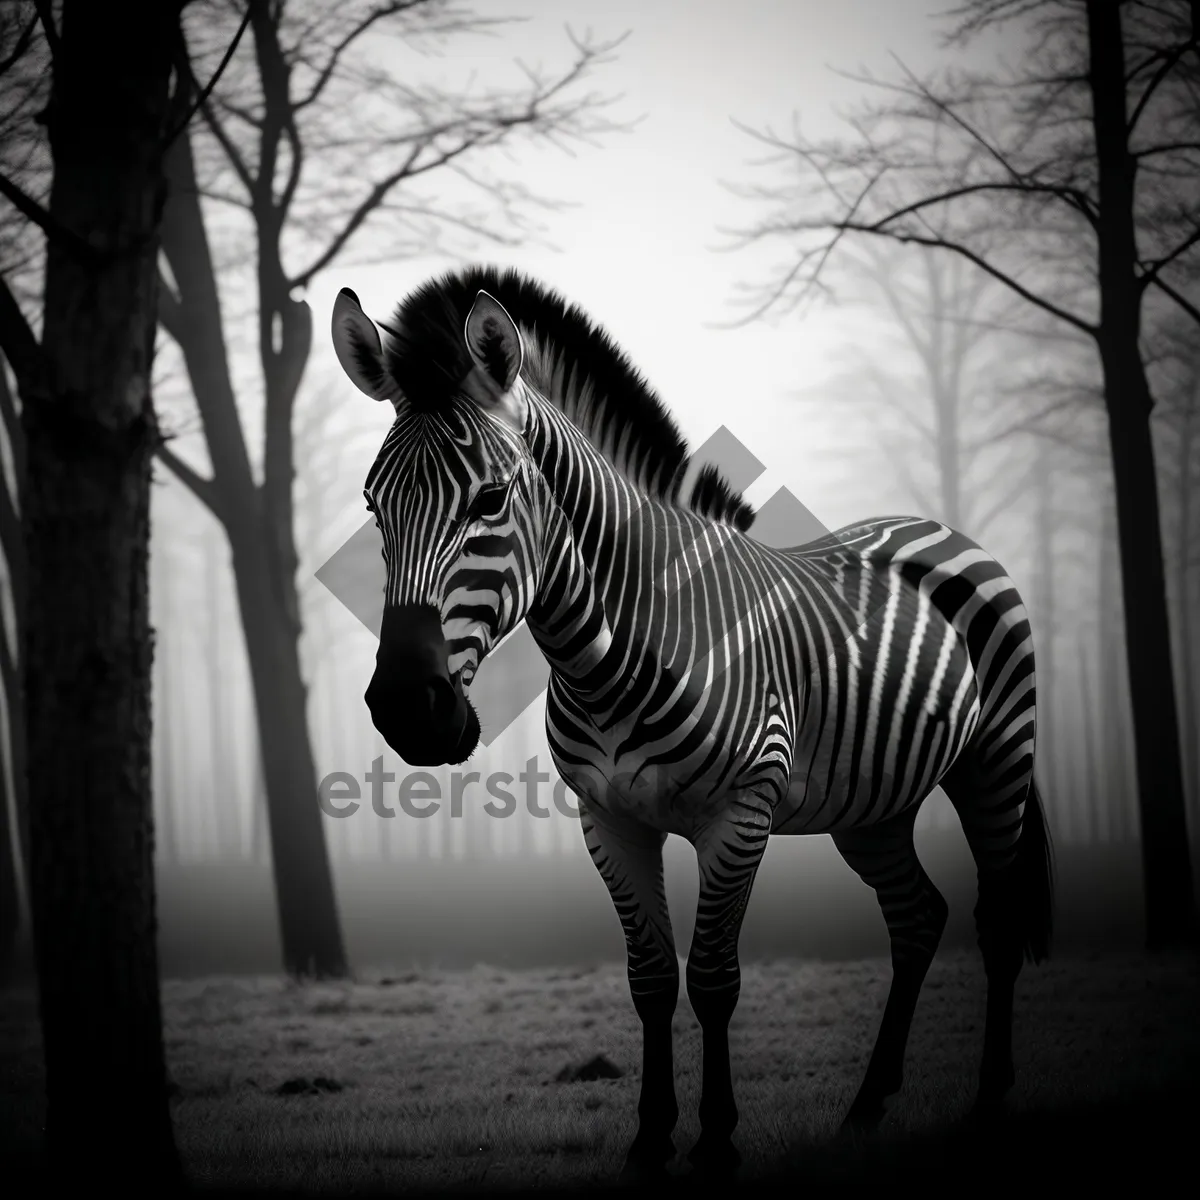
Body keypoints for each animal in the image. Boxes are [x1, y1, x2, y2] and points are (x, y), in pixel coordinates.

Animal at [328, 265, 1051, 1180]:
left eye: (490, 499)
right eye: (372, 505)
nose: (407, 710)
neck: (608, 658)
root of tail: (937, 527)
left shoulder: (737, 815)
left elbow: (711, 976)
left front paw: (714, 1140)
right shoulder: (607, 819)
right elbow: (650, 979)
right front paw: (649, 1139)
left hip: (997, 761)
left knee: (997, 919)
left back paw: (988, 1102)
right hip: (872, 805)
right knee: (918, 917)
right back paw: (865, 1109)